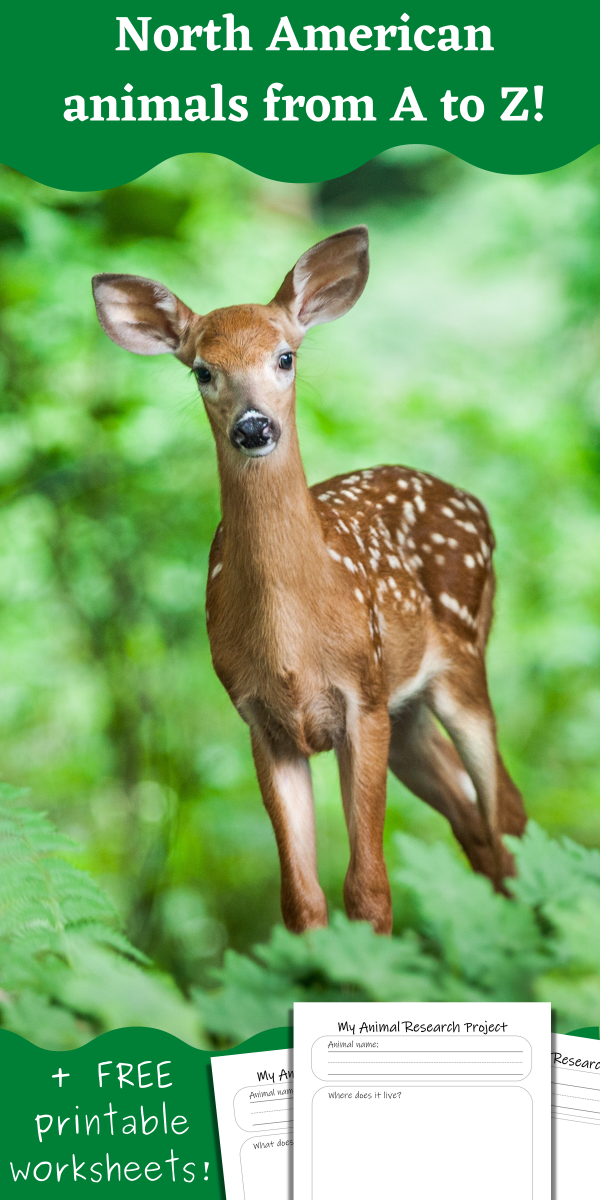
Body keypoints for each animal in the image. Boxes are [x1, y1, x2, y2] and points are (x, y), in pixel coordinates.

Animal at [92, 225, 526, 936]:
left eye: (286, 357)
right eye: (202, 370)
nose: (253, 426)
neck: (293, 643)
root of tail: (473, 502)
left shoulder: (361, 698)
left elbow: (369, 890)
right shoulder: (261, 721)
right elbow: (301, 899)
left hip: (461, 661)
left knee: (506, 812)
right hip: (408, 711)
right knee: (474, 821)